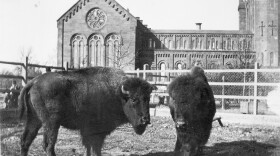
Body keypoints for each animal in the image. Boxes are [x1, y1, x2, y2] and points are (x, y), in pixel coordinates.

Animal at [18, 67, 156, 156]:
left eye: (148, 98)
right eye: (133, 99)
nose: (145, 120)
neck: (118, 94)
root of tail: (34, 81)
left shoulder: (88, 133)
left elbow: (89, 149)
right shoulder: (96, 132)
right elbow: (95, 149)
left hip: (34, 119)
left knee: (25, 141)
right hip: (51, 123)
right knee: (48, 145)